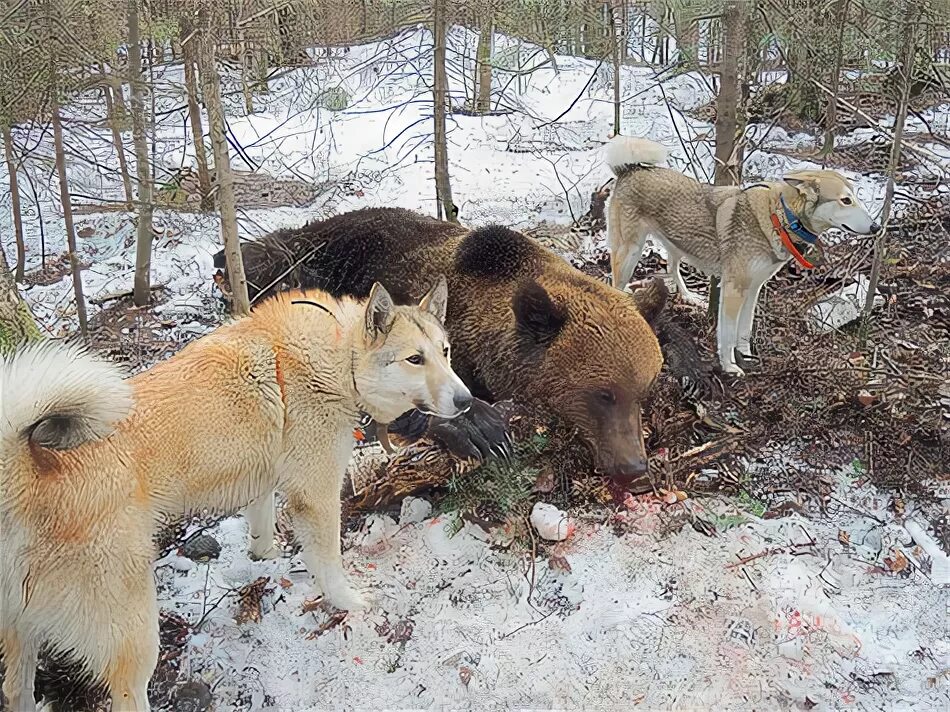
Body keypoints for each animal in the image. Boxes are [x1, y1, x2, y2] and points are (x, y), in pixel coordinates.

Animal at [0, 276, 472, 708]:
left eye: (445, 352)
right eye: (415, 359)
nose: (466, 400)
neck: (343, 358)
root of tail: (29, 469)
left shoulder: (262, 477)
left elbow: (261, 524)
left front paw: (267, 557)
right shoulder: (317, 495)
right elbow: (330, 563)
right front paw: (348, 600)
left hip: (22, 635)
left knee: (15, 690)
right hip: (133, 630)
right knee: (126, 694)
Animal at [608, 136, 880, 376]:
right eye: (846, 200)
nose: (877, 227)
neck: (780, 216)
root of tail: (629, 169)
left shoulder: (753, 289)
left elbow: (744, 330)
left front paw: (746, 356)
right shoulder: (734, 289)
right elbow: (727, 334)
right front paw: (729, 366)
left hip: (678, 245)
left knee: (672, 268)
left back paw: (689, 296)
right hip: (629, 252)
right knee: (615, 284)